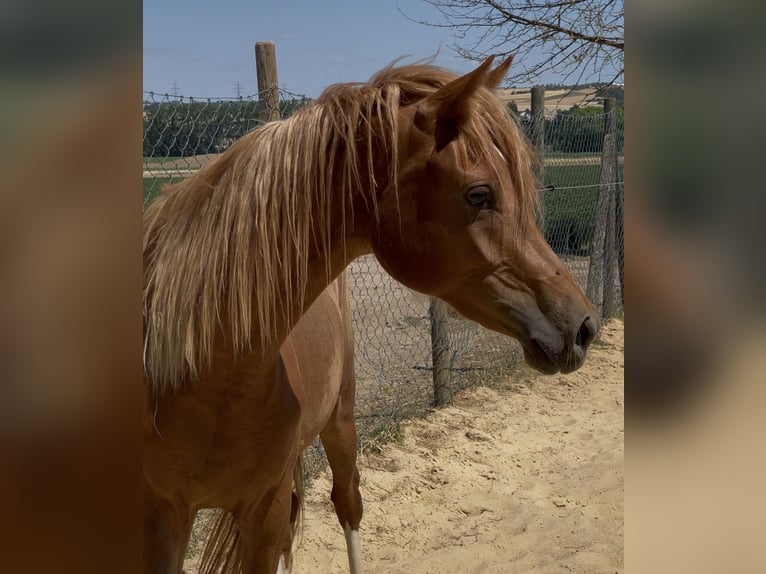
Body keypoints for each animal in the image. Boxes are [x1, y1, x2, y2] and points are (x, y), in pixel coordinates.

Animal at [143, 55, 599, 574]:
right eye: (480, 194)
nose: (584, 326)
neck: (204, 375)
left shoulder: (264, 508)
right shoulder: (159, 522)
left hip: (340, 420)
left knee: (348, 504)